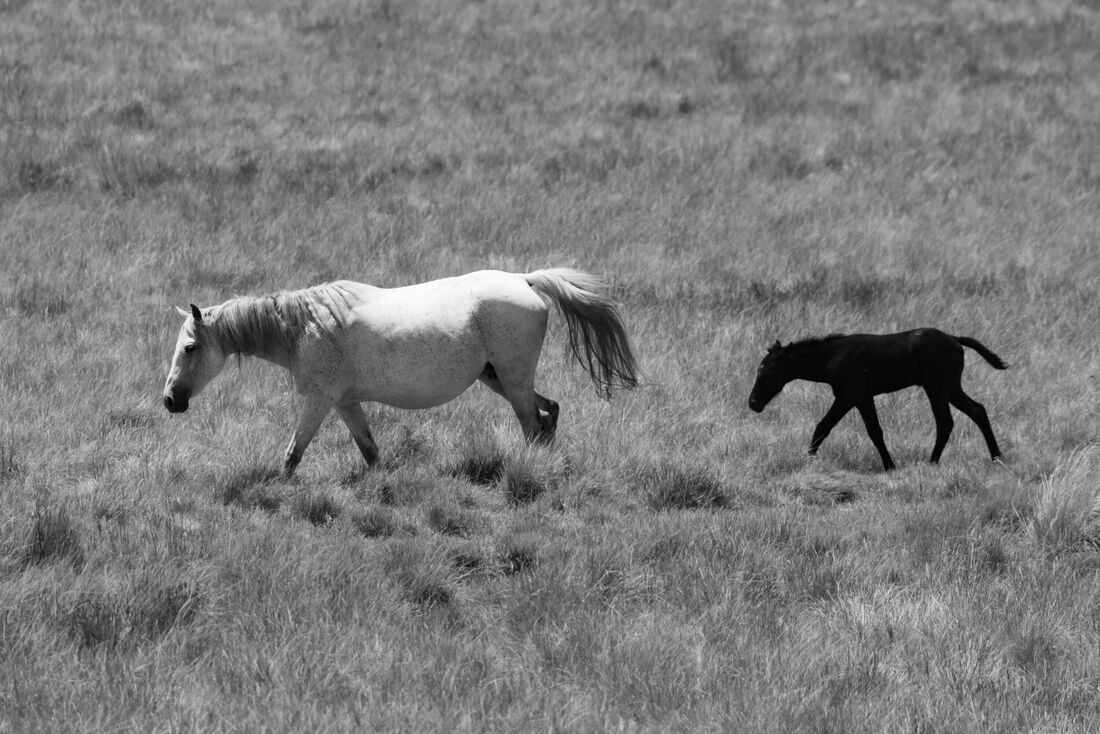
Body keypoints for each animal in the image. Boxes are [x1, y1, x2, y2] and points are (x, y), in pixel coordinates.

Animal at [163, 268, 639, 476]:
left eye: (189, 348)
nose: (170, 401)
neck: (303, 328)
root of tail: (525, 279)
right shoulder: (345, 403)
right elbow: (371, 451)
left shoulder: (319, 401)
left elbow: (293, 454)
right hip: (499, 379)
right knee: (548, 412)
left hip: (513, 381)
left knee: (532, 424)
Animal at [747, 328, 1006, 471]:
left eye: (768, 370)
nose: (753, 403)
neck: (833, 355)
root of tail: (955, 339)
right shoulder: (863, 398)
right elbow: (875, 431)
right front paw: (890, 466)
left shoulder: (848, 395)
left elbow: (823, 426)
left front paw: (807, 460)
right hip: (951, 387)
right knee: (978, 410)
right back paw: (997, 457)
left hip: (937, 387)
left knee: (945, 422)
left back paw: (932, 461)